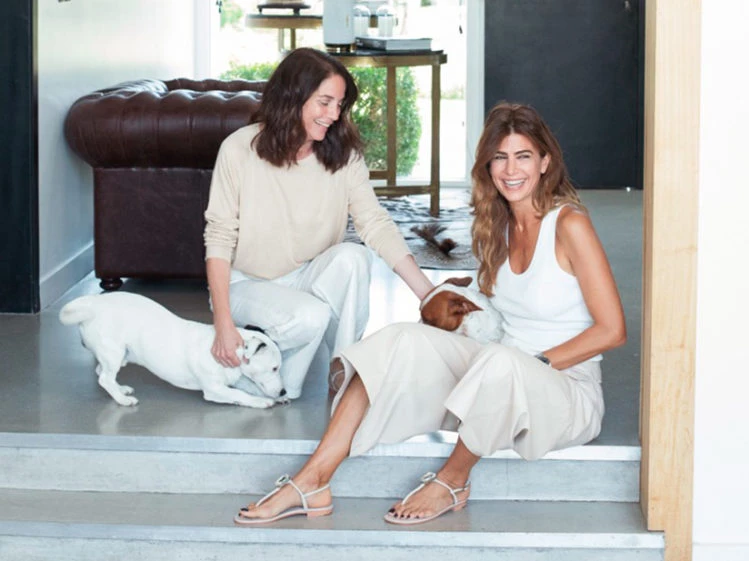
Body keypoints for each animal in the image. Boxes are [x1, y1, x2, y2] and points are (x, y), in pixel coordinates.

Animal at [59, 292, 285, 408]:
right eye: (274, 368)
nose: (284, 391)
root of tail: (92, 305)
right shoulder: (214, 390)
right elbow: (241, 394)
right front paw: (261, 401)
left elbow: (248, 387)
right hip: (114, 352)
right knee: (104, 378)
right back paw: (123, 400)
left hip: (119, 355)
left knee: (102, 373)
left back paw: (120, 390)